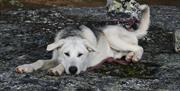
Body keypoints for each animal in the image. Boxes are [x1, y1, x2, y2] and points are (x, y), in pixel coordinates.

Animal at [15, 4, 150, 75]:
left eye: (80, 55)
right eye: (66, 53)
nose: (73, 70)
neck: (73, 34)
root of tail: (130, 31)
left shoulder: (84, 64)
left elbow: (63, 65)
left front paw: (57, 69)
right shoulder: (56, 58)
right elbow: (40, 61)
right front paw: (27, 66)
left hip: (111, 36)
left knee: (139, 47)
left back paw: (135, 57)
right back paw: (129, 56)